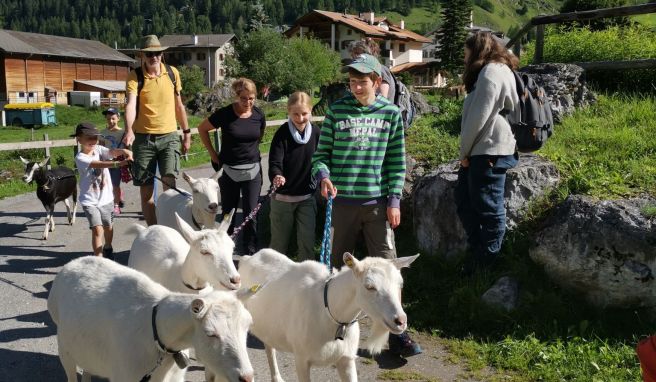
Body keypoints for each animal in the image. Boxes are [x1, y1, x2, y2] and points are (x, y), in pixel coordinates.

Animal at [238, 249, 418, 380]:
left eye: (400, 284)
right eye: (369, 286)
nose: (400, 321)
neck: (328, 311)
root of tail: (247, 258)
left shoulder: (346, 359)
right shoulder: (302, 359)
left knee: (269, 347)